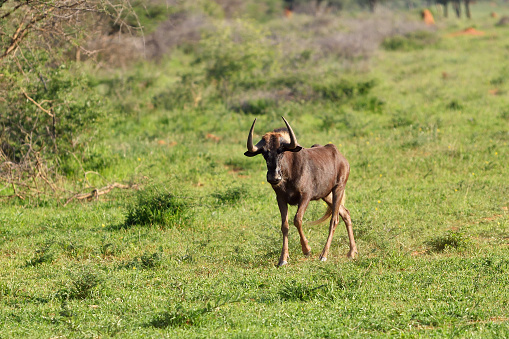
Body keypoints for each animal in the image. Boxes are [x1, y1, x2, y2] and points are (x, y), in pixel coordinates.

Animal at [243, 117, 356, 268]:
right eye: (264, 152)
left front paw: (307, 249)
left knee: (334, 220)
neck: (288, 174)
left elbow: (297, 220)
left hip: (338, 188)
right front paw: (283, 258)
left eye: (281, 150)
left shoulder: (305, 197)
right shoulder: (280, 199)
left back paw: (324, 255)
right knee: (346, 213)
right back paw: (352, 252)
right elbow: (284, 225)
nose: (274, 177)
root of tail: (341, 158)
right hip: (327, 195)